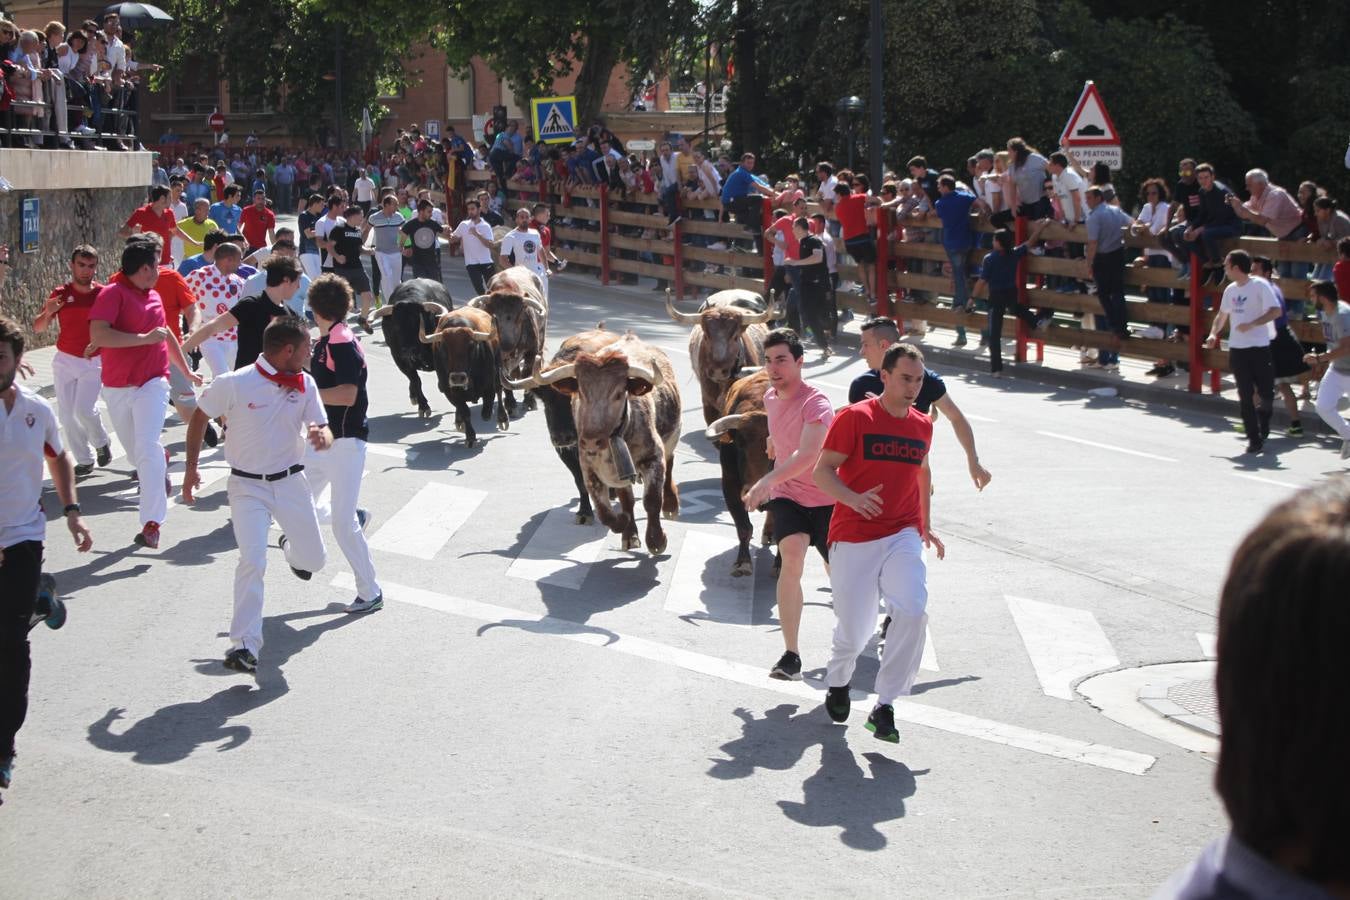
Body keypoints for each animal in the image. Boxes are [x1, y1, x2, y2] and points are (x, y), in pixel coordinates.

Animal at [415, 306, 507, 450]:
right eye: (444, 346)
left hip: (499, 368)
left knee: (499, 389)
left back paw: (502, 419)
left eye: (471, 345)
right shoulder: (449, 390)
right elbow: (465, 411)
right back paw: (459, 421)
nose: (458, 378)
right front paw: (470, 437)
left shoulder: (489, 385)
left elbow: (487, 407)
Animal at [521, 333, 680, 553]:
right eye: (580, 392)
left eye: (619, 394)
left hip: (672, 439)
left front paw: (657, 540)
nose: (590, 441)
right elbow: (607, 510)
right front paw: (625, 527)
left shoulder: (653, 458)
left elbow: (652, 500)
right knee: (626, 499)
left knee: (670, 464)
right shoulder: (589, 468)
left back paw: (671, 506)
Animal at [702, 372, 777, 577]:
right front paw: (743, 563)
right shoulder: (729, 485)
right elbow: (744, 527)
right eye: (740, 444)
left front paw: (779, 566)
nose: (752, 490)